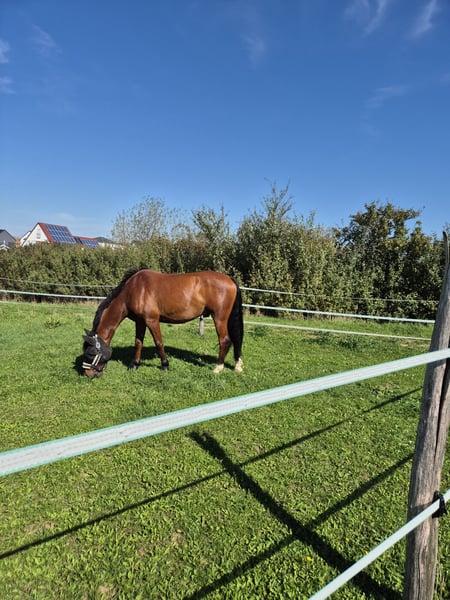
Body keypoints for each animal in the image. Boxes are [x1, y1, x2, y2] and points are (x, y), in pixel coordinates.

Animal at [82, 269, 244, 378]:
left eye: (91, 353)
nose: (88, 374)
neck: (134, 290)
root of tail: (230, 279)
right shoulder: (140, 322)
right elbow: (138, 342)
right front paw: (134, 365)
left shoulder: (152, 320)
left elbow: (158, 342)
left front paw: (165, 365)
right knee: (235, 340)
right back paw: (237, 365)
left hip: (219, 318)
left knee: (225, 340)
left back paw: (218, 367)